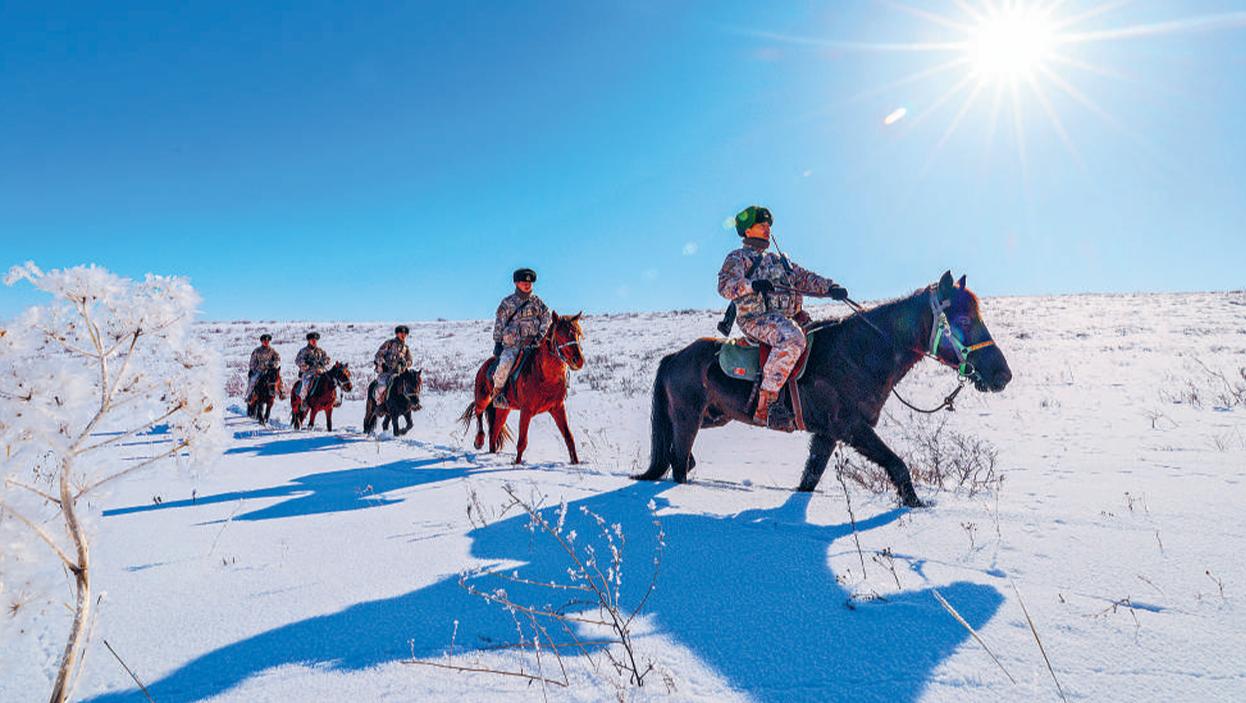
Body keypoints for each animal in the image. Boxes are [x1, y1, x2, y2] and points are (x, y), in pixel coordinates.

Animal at [459, 312, 586, 464]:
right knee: (478, 412)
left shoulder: (558, 408)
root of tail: (485, 366)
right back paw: (479, 440)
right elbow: (522, 442)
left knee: (494, 433)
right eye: (560, 334)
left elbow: (569, 437)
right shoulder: (526, 410)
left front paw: (575, 463)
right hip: (483, 398)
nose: (578, 360)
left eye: (578, 334)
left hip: (503, 409)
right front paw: (517, 464)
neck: (545, 376)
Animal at [632, 272, 1012, 507]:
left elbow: (809, 479)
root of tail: (675, 357)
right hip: (688, 418)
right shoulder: (853, 428)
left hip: (712, 417)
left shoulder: (827, 435)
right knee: (678, 463)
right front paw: (916, 506)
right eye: (964, 321)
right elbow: (898, 465)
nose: (1002, 375)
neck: (860, 353)